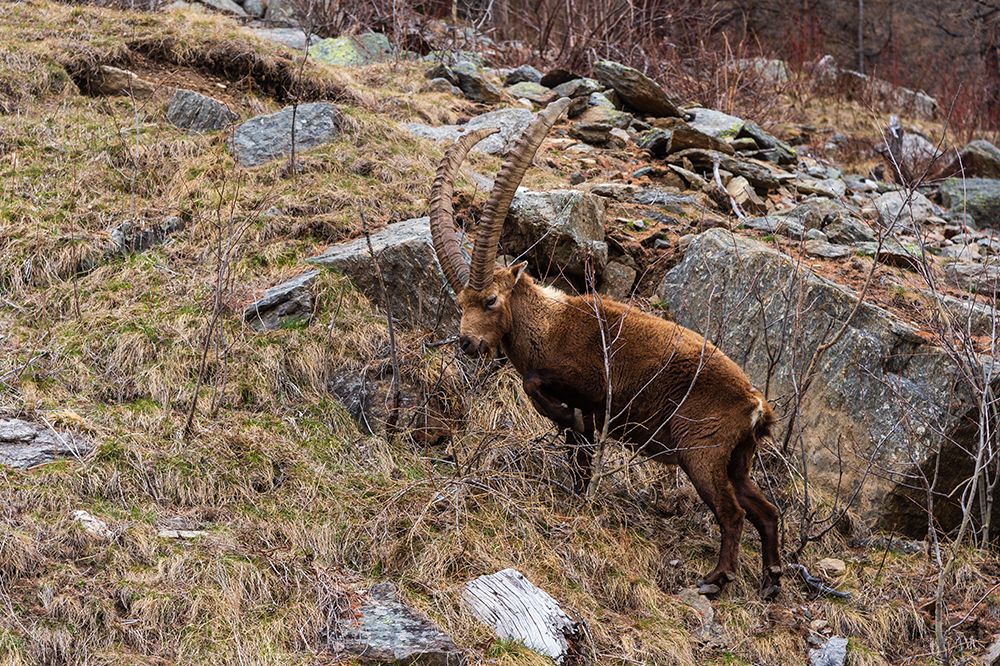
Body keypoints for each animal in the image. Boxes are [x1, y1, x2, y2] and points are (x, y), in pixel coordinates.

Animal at [428, 97, 782, 598]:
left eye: (491, 300)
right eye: (460, 303)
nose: (468, 342)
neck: (548, 325)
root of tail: (755, 404)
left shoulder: (590, 385)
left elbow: (540, 390)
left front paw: (563, 418)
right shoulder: (591, 410)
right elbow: (578, 451)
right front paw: (577, 488)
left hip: (702, 454)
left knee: (732, 513)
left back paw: (716, 579)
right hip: (737, 460)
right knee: (765, 510)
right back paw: (771, 580)